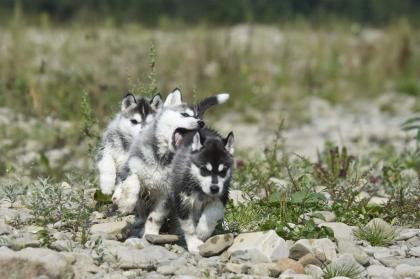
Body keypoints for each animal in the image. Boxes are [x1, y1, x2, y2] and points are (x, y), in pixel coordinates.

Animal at [113, 88, 228, 237]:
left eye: (197, 117)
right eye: (185, 114)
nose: (201, 122)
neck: (162, 159)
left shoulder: (168, 195)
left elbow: (155, 217)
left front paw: (150, 233)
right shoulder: (131, 167)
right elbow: (133, 181)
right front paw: (126, 202)